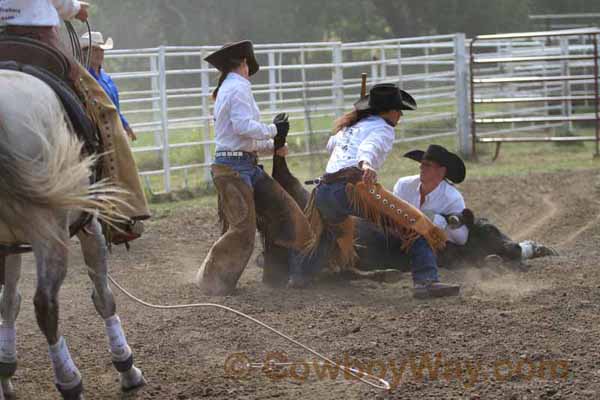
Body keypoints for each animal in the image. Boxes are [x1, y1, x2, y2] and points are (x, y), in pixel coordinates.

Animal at [0, 70, 144, 400]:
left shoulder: (9, 245)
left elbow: (9, 301)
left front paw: (6, 374)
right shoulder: (89, 227)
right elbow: (103, 297)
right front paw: (126, 367)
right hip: (51, 230)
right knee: (46, 305)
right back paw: (70, 382)